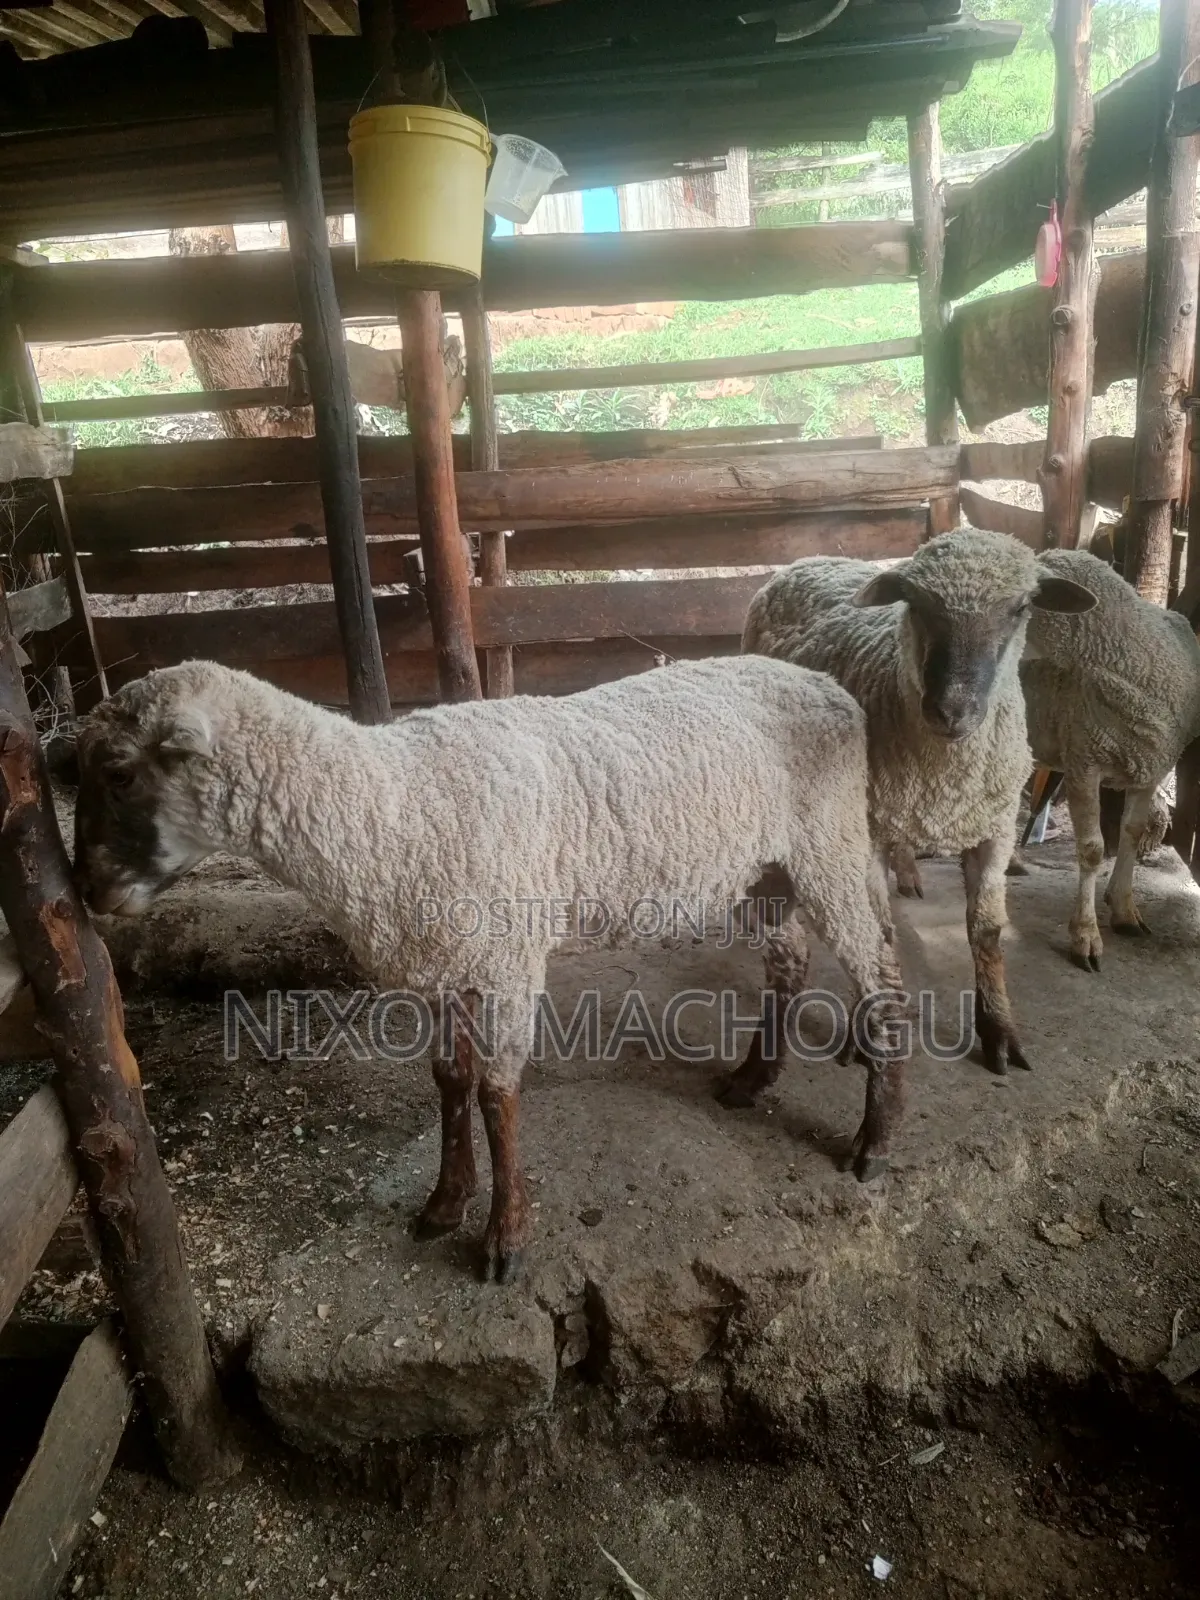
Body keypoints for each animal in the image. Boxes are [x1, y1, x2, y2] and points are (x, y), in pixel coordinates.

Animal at [70, 656, 905, 1284]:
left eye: (119, 774)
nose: (88, 892)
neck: (389, 807)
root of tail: (831, 686)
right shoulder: (445, 966)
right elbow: (450, 1083)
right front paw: (446, 1203)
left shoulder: (506, 958)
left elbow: (499, 1097)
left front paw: (506, 1238)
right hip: (767, 869)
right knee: (791, 959)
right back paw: (752, 1078)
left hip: (826, 844)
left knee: (881, 976)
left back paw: (874, 1139)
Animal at [738, 529, 1097, 1086]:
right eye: (916, 602)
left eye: (1021, 607)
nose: (952, 709)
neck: (947, 776)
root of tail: (807, 559)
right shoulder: (865, 833)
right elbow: (880, 934)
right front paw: (867, 1031)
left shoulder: (995, 830)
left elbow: (987, 932)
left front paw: (998, 1031)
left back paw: (908, 873)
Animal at [1020, 547, 1200, 971]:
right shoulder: (1083, 764)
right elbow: (1092, 848)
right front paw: (1085, 936)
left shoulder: (1150, 766)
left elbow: (1132, 831)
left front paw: (1124, 909)